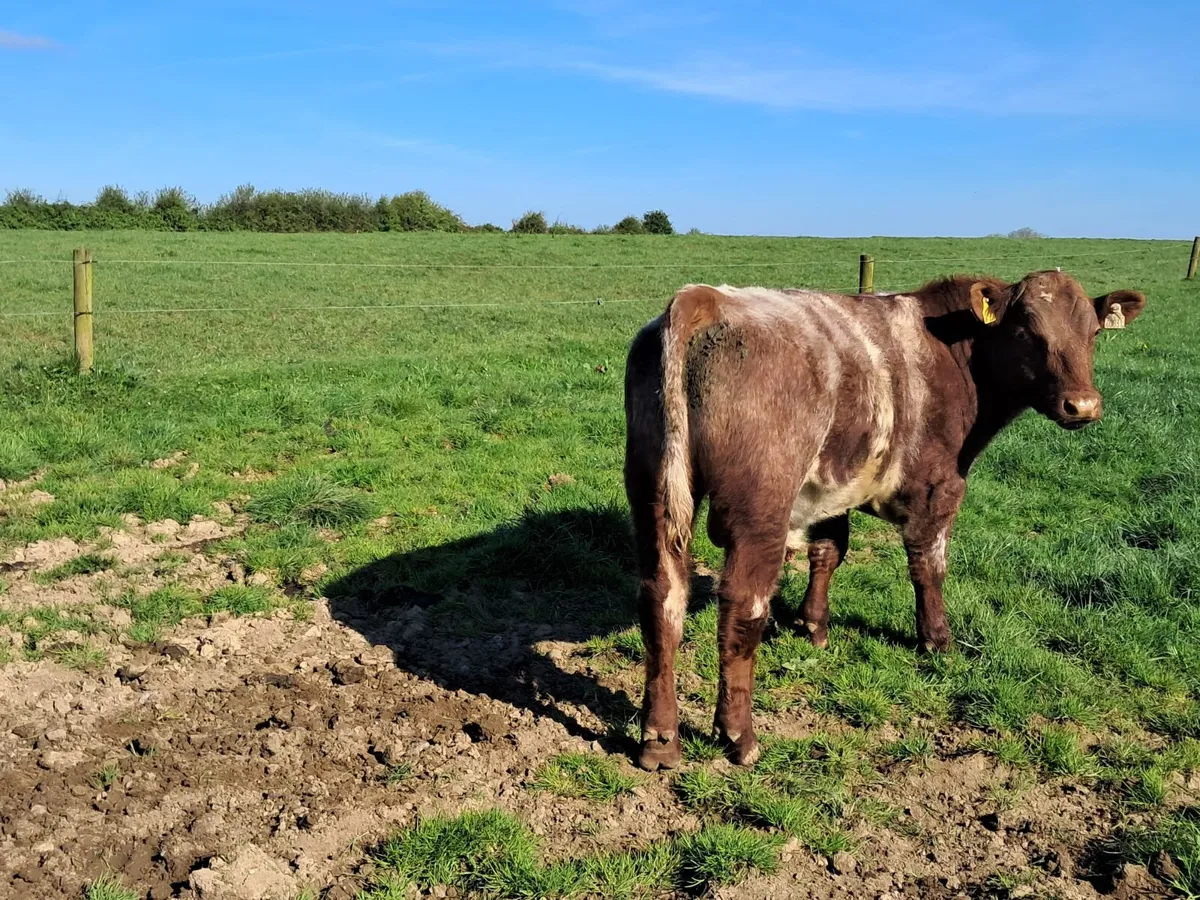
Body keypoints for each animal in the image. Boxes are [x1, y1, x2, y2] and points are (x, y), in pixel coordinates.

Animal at [623, 270, 1146, 771]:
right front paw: (937, 641)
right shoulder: (939, 490)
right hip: (760, 510)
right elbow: (929, 568)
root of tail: (706, 299)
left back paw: (660, 740)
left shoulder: (830, 487)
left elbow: (828, 551)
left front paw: (813, 626)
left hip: (653, 493)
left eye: (1094, 332)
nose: (1082, 405)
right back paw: (738, 736)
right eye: (1025, 330)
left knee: (661, 599)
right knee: (743, 606)